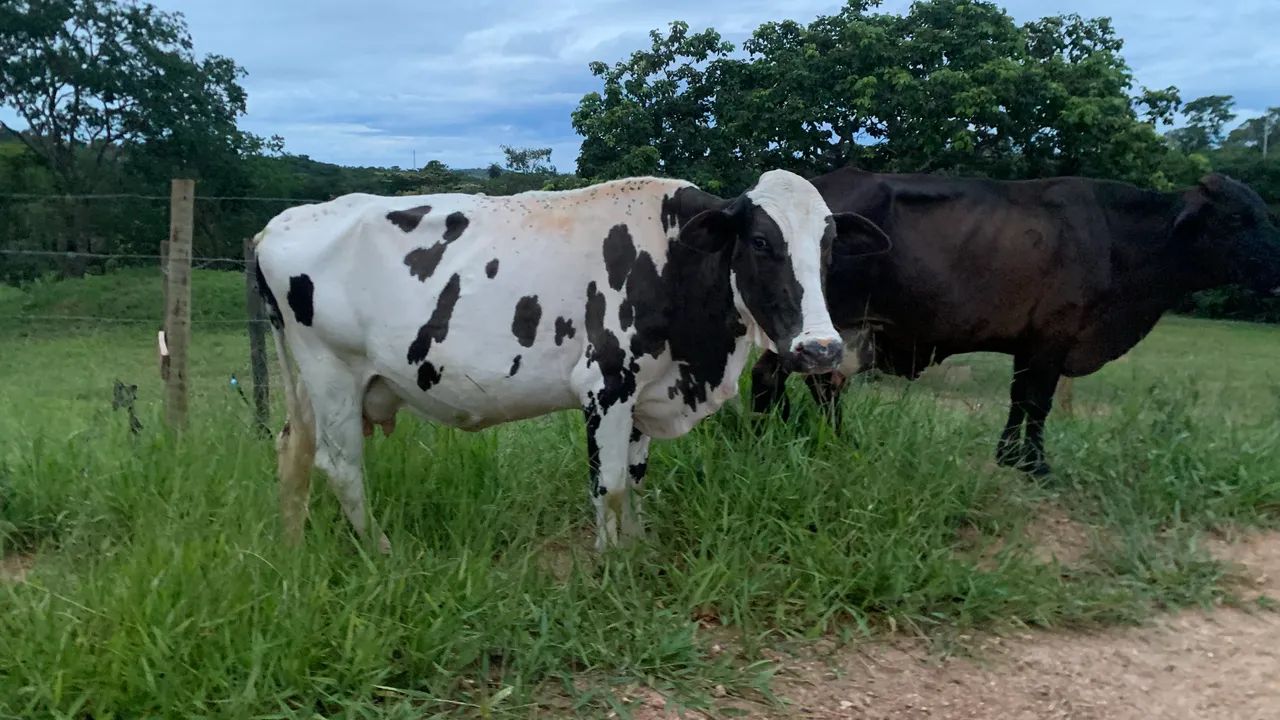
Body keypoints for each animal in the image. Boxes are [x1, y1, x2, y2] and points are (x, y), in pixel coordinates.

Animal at [252, 169, 890, 553]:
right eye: (759, 242)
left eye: (829, 244)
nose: (821, 348)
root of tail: (280, 221)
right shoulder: (606, 386)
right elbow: (608, 485)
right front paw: (609, 565)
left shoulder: (645, 392)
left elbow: (634, 479)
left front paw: (637, 547)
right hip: (332, 373)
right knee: (341, 467)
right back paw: (382, 551)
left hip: (313, 386)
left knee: (292, 452)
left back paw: (292, 548)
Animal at [749, 168, 1280, 476]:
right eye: (1238, 219)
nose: (1278, 267)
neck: (1117, 237)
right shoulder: (1054, 338)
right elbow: (1037, 404)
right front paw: (1036, 466)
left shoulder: (1031, 344)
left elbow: (1020, 400)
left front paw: (1009, 456)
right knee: (774, 378)